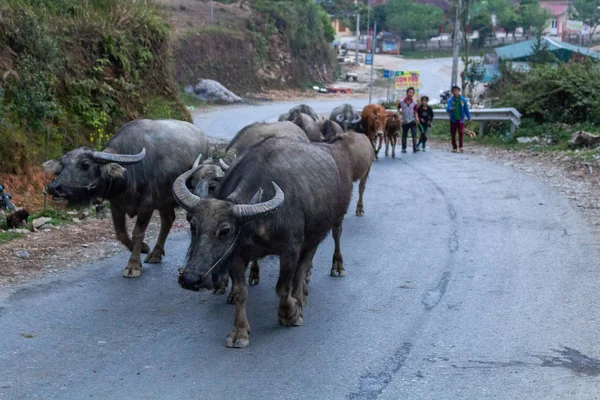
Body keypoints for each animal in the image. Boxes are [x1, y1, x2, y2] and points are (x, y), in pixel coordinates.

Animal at [44, 117, 211, 276]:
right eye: (62, 165)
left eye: (85, 165)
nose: (53, 188)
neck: (130, 174)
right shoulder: (116, 205)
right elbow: (121, 234)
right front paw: (143, 248)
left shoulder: (147, 205)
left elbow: (138, 233)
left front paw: (133, 265)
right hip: (165, 201)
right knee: (167, 220)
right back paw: (155, 253)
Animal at [173, 137, 352, 346]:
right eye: (192, 225)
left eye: (225, 231)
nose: (190, 279)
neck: (256, 222)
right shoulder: (236, 255)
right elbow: (241, 291)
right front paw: (239, 331)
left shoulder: (290, 249)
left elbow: (283, 287)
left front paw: (290, 313)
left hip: (319, 232)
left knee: (306, 264)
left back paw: (308, 291)